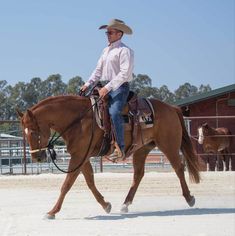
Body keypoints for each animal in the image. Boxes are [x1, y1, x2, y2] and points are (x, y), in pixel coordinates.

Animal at [17, 94, 200, 219]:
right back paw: (125, 204)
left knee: (178, 168)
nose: (37, 158)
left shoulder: (79, 156)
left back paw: (189, 198)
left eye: (33, 132)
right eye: (24, 133)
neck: (78, 120)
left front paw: (52, 212)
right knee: (138, 175)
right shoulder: (81, 156)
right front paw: (106, 205)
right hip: (141, 149)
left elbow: (67, 184)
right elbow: (90, 181)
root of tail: (172, 108)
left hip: (169, 145)